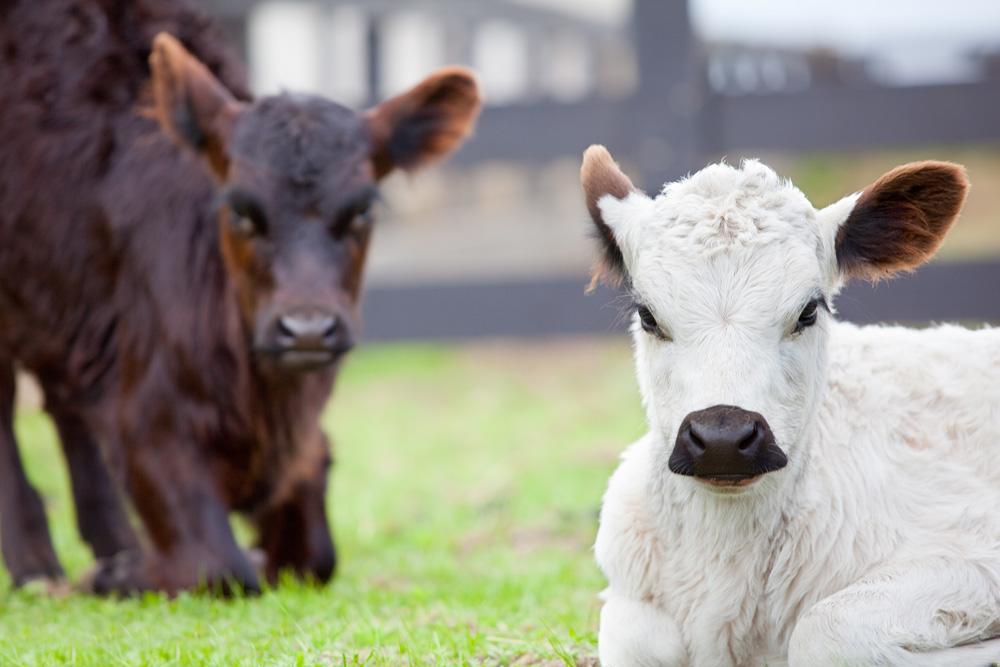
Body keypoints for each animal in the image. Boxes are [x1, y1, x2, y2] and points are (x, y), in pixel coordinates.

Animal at [0, 0, 480, 596]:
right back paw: (37, 566)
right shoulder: (153, 423)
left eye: (364, 209)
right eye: (240, 209)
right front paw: (121, 576)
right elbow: (216, 565)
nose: (307, 329)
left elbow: (315, 555)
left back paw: (111, 544)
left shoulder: (302, 448)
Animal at [584, 150, 1000, 667]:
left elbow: (825, 629)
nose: (722, 438)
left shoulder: (974, 546)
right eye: (647, 315)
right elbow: (640, 638)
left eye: (808, 310)